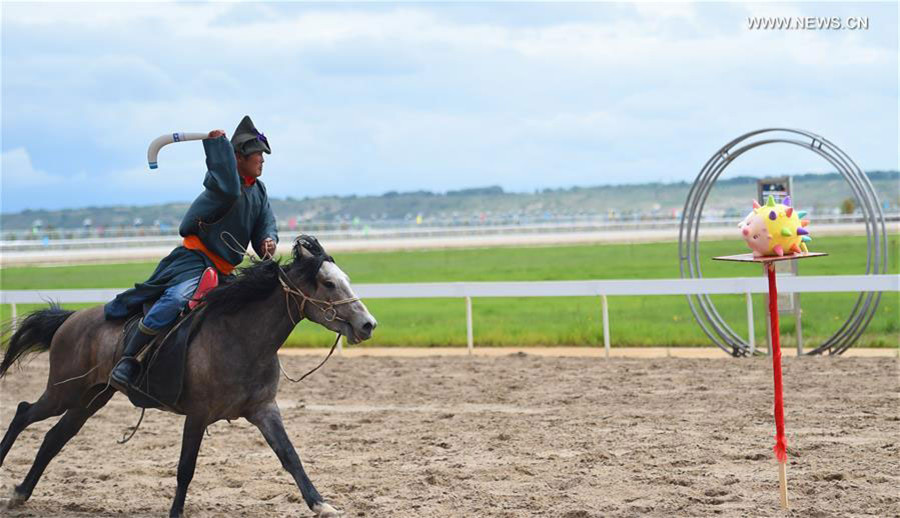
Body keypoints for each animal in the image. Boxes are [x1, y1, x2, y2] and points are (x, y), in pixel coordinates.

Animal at [0, 238, 376, 516]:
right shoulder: (197, 415)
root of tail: (72, 319)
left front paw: (320, 503)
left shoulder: (264, 409)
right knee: (23, 412)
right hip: (64, 391)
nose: (368, 324)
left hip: (90, 398)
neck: (240, 337)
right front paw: (176, 512)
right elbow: (185, 467)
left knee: (54, 438)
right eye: (328, 283)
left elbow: (289, 455)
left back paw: (21, 492)